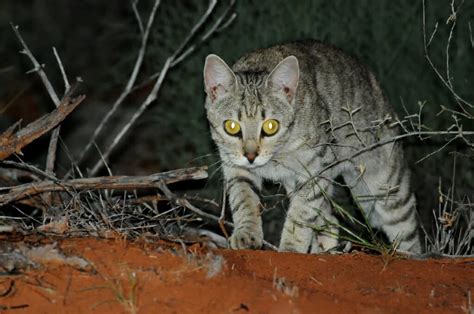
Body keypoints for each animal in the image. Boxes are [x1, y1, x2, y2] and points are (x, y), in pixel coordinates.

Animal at [204, 39, 422, 255]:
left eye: (271, 126)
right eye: (231, 126)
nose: (251, 156)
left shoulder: (315, 170)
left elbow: (301, 215)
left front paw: (290, 249)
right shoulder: (236, 167)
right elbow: (244, 200)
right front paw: (247, 234)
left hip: (385, 186)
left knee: (408, 235)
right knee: (331, 221)